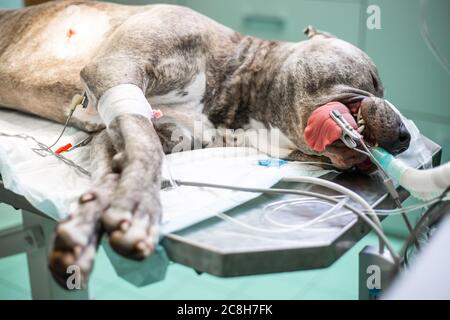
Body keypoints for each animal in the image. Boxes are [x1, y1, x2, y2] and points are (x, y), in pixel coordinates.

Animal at [0, 0, 412, 288]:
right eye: (374, 79)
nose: (406, 137)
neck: (237, 90)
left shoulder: (129, 132)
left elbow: (117, 163)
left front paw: (87, 226)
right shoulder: (116, 69)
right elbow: (145, 149)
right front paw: (139, 208)